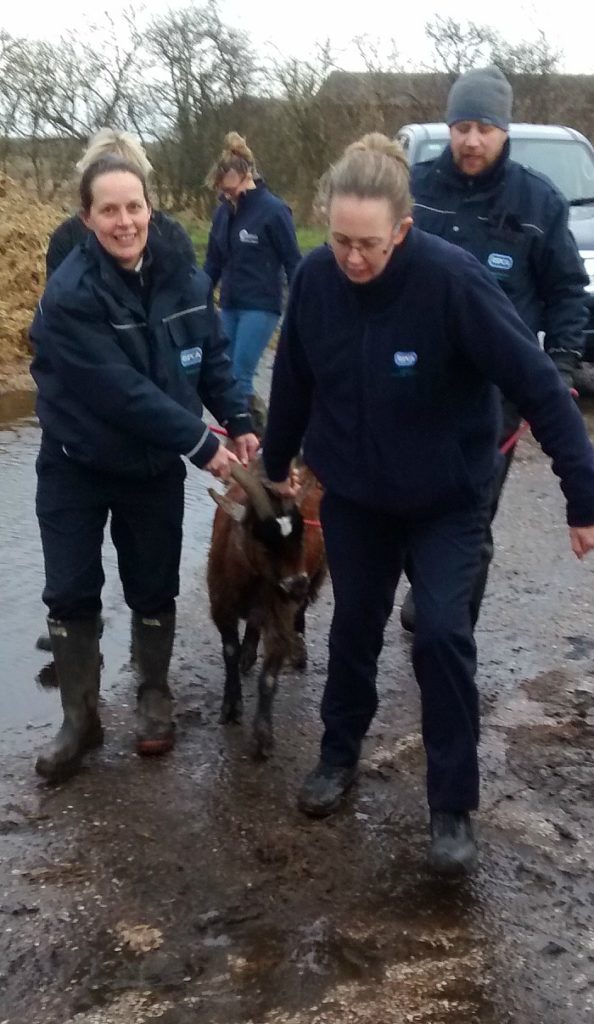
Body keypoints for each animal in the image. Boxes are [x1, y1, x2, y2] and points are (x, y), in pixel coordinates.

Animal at [206, 460, 327, 757]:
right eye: (263, 540)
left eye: (300, 536)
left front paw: (262, 738)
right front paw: (231, 708)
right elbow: (229, 652)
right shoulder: (222, 606)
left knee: (299, 612)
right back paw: (249, 655)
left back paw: (299, 649)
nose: (298, 584)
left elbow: (270, 676)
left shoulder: (280, 612)